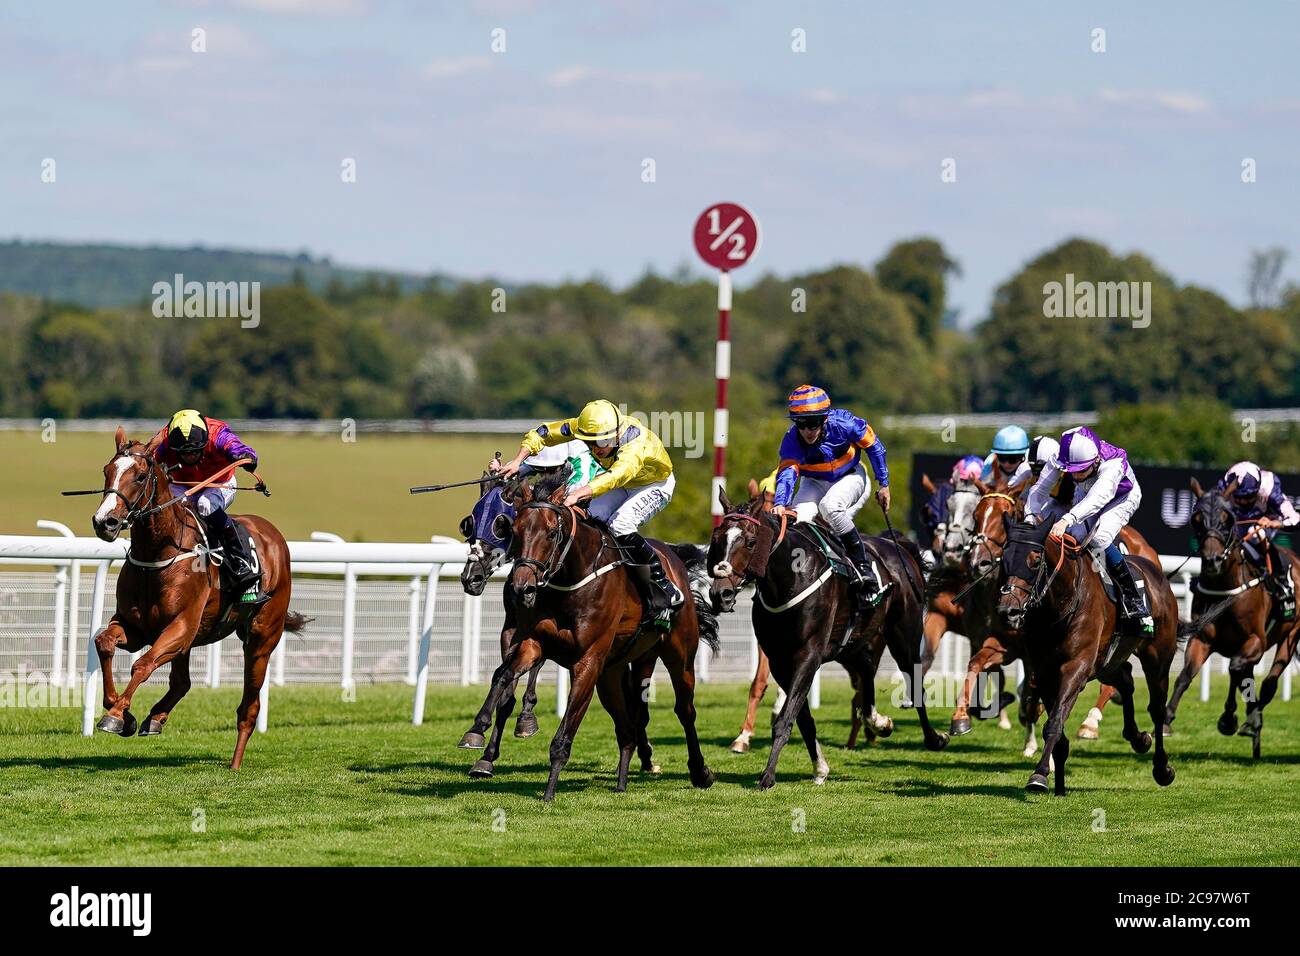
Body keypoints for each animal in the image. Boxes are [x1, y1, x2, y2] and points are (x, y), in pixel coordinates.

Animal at [88, 426, 306, 770]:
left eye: (140, 476)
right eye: (107, 471)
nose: (104, 522)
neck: (159, 554)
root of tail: (272, 534)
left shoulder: (181, 626)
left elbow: (143, 665)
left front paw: (115, 715)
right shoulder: (136, 628)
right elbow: (105, 642)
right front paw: (122, 712)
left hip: (261, 638)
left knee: (249, 707)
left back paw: (235, 763)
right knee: (182, 682)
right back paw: (156, 717)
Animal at [460, 476, 722, 801]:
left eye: (551, 533)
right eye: (514, 530)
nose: (523, 588)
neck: (573, 577)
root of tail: (674, 560)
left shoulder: (588, 661)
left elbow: (563, 733)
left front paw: (548, 793)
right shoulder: (531, 642)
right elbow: (503, 677)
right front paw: (477, 733)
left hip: (679, 655)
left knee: (684, 711)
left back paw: (700, 772)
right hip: (614, 672)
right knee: (628, 725)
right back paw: (622, 782)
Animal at [707, 489, 951, 790]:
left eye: (751, 542)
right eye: (717, 539)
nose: (721, 594)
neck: (790, 577)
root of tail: (899, 546)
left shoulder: (808, 654)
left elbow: (785, 718)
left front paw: (767, 776)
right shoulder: (779, 660)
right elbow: (802, 718)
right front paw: (820, 768)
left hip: (904, 635)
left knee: (915, 684)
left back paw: (934, 738)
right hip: (854, 644)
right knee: (866, 674)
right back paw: (878, 722)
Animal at [993, 520, 1180, 796]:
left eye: (1035, 560)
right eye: (1004, 559)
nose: (1009, 611)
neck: (1059, 605)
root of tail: (1158, 574)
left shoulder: (1077, 667)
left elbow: (1055, 721)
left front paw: (1039, 775)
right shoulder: (1044, 671)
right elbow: (1055, 723)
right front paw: (1056, 777)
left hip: (1157, 658)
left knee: (1156, 709)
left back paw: (1162, 768)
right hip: (1108, 662)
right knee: (1126, 680)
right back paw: (1138, 738)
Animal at [1164, 478, 1294, 754]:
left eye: (1227, 519)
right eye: (1196, 519)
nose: (1212, 561)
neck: (1226, 588)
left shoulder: (1255, 641)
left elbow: (1235, 669)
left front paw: (1228, 718)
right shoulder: (1202, 639)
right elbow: (1185, 675)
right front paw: (1167, 719)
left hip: (1290, 637)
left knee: (1268, 682)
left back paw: (1252, 720)